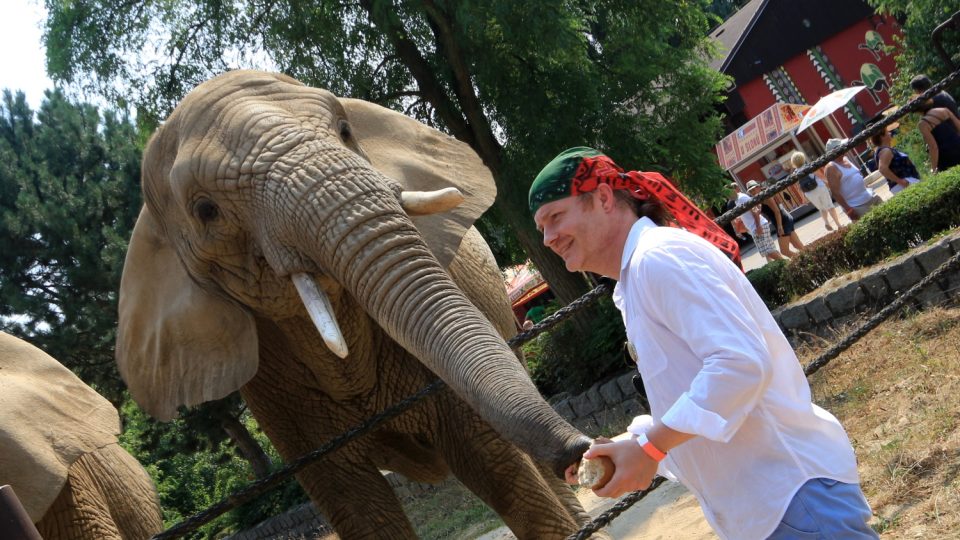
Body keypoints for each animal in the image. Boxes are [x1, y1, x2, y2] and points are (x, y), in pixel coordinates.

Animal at [112, 69, 592, 536]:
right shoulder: (275, 395)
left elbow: (495, 465)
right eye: (206, 211)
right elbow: (360, 508)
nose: (581, 448)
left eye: (345, 131)